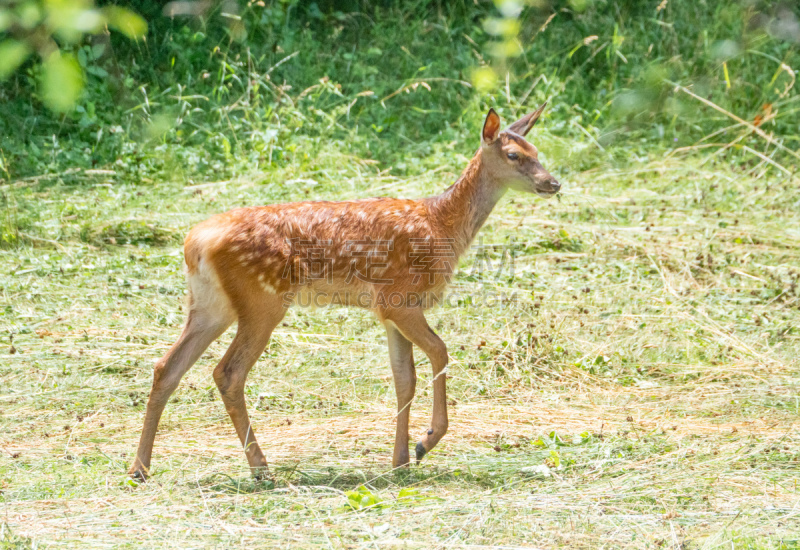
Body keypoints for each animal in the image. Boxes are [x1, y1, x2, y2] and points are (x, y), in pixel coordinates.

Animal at [128, 105, 560, 480]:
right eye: (513, 155)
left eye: (537, 151)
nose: (553, 182)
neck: (442, 225)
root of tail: (195, 243)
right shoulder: (400, 297)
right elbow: (440, 352)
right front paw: (426, 442)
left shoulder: (389, 311)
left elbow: (404, 378)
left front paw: (400, 460)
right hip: (262, 299)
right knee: (227, 372)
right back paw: (261, 468)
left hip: (210, 304)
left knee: (167, 367)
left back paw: (140, 468)